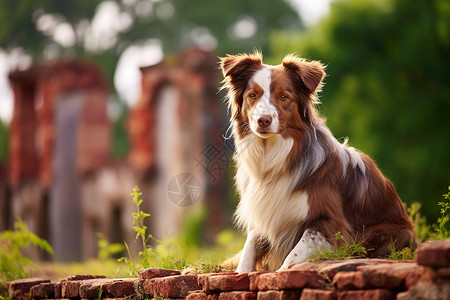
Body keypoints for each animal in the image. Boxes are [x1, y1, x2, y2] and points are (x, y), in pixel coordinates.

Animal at [220, 52, 416, 274]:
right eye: (252, 95)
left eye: (283, 97)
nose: (263, 120)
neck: (272, 157)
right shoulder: (263, 213)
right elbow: (249, 248)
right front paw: (241, 272)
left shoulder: (329, 221)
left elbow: (293, 255)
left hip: (392, 232)